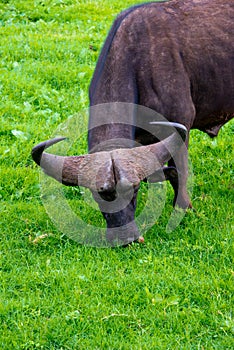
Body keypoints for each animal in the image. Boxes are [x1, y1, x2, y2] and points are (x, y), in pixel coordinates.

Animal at [32, 0, 233, 245]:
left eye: (134, 190)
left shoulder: (180, 128)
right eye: (100, 194)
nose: (125, 238)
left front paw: (184, 209)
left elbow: (180, 174)